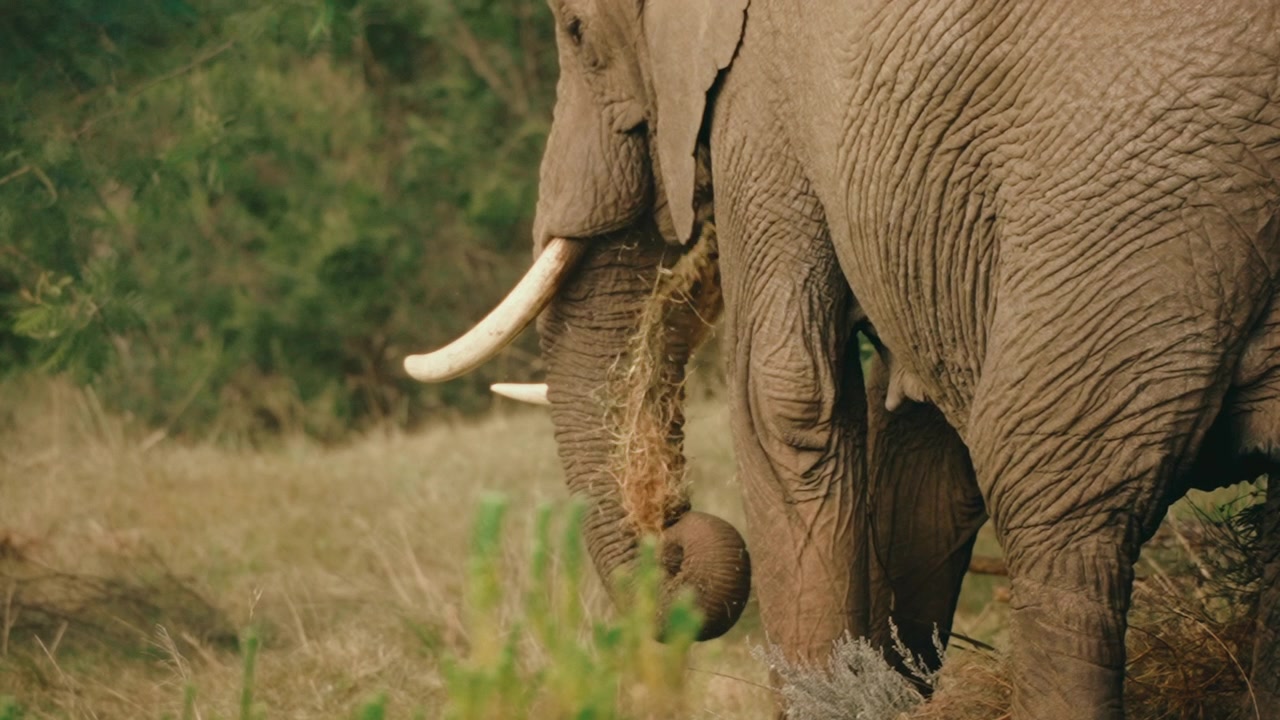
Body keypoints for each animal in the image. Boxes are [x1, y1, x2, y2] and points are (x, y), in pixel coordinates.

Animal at [406, 1, 1280, 717]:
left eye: (577, 31)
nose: (675, 533)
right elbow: (921, 461)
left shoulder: (761, 94)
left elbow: (785, 396)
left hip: (1130, 208)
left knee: (1056, 512)